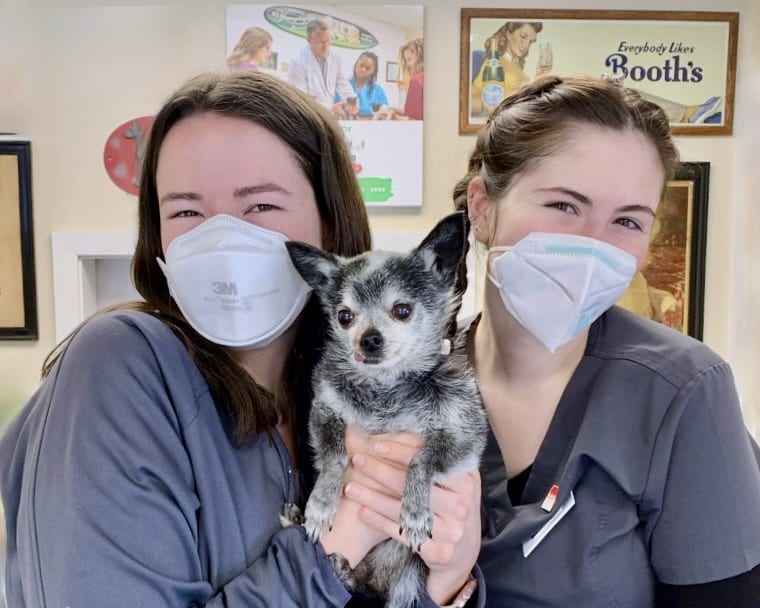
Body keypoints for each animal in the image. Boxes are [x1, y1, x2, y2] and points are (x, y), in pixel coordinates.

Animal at [284, 211, 486, 604]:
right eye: (345, 316)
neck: (385, 387)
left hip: (408, 578)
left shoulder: (464, 435)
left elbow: (421, 459)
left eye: (402, 310)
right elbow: (335, 456)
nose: (369, 339)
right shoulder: (324, 412)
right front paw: (320, 505)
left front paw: (415, 511)